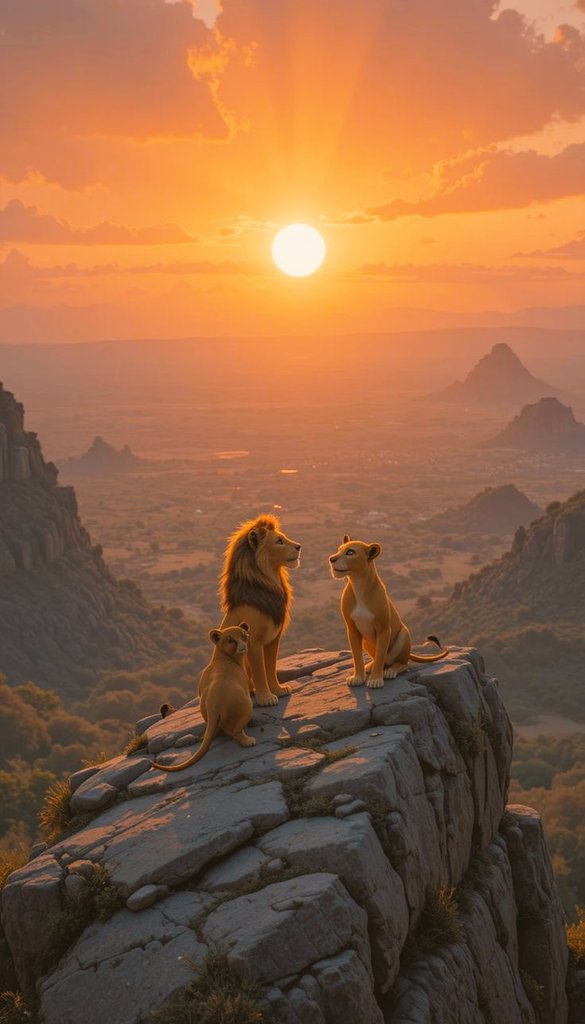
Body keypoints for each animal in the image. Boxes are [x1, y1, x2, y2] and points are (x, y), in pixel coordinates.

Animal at [152, 623, 254, 772]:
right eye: (231, 640)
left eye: (244, 636)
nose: (243, 647)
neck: (224, 658)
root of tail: (214, 706)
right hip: (247, 706)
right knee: (235, 732)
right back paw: (248, 741)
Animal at [220, 514, 301, 707]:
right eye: (279, 541)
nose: (299, 547)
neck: (270, 580)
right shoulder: (253, 642)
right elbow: (260, 672)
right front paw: (266, 698)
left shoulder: (273, 641)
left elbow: (270, 668)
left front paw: (278, 690)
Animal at [329, 536, 448, 688]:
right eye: (339, 550)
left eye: (350, 552)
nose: (331, 559)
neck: (358, 584)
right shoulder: (352, 629)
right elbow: (357, 657)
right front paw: (358, 677)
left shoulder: (384, 629)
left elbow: (381, 654)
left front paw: (375, 679)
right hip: (366, 641)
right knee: (382, 659)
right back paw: (370, 666)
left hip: (403, 633)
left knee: (402, 663)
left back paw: (391, 671)